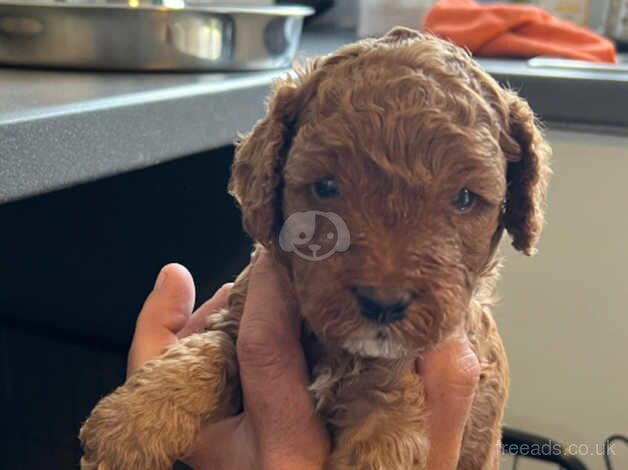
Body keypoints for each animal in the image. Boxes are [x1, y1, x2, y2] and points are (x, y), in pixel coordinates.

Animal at [79, 27, 548, 468]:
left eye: (465, 198)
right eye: (325, 187)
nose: (383, 303)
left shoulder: (397, 387)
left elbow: (387, 422)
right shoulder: (237, 315)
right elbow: (206, 353)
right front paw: (132, 423)